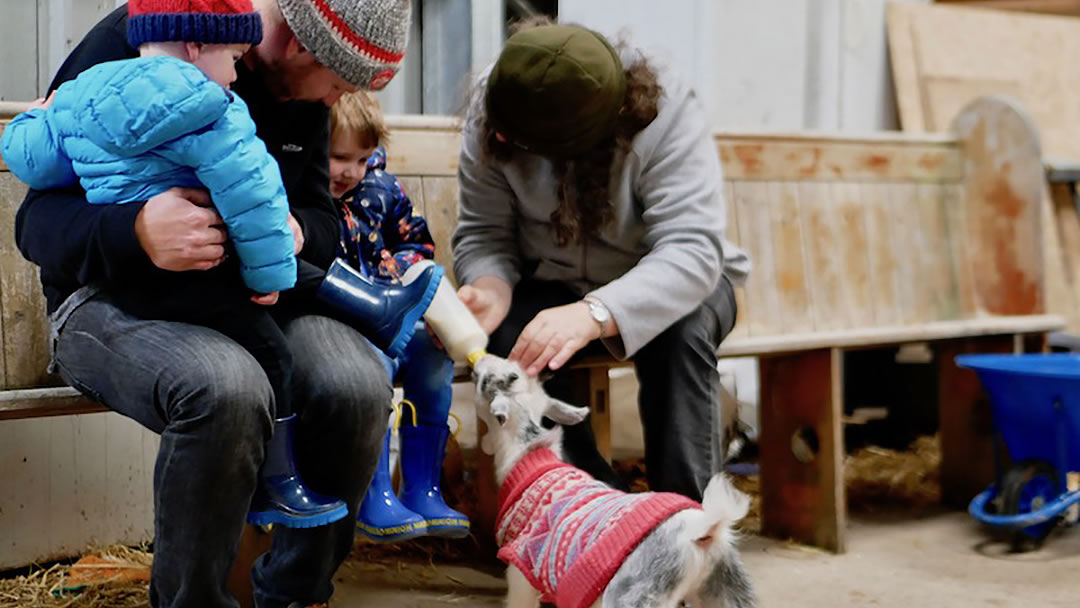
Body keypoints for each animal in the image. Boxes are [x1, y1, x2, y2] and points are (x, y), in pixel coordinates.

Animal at [473, 354, 760, 604]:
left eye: (484, 381)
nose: (480, 360)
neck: (527, 451)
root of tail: (703, 530)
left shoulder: (520, 571)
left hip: (632, 593)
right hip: (728, 588)